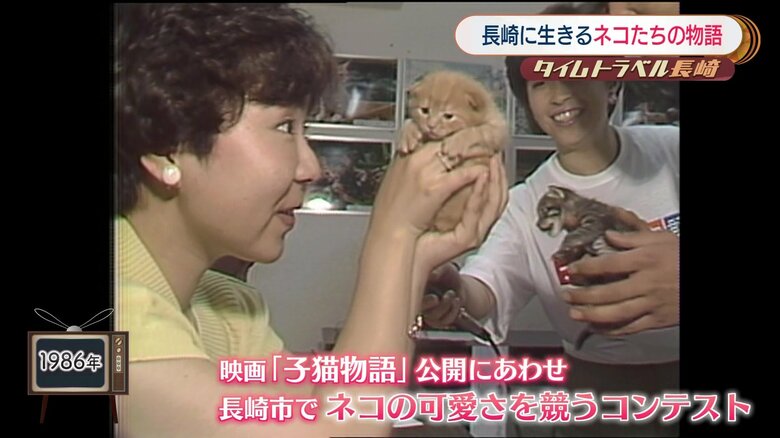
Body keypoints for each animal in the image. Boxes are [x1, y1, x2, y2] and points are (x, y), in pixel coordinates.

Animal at [399, 70, 509, 232]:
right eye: (424, 110)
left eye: (448, 116)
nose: (431, 126)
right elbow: (409, 122)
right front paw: (408, 134)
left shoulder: (498, 129)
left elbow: (476, 131)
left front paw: (456, 143)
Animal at [536, 185, 640, 349]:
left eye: (544, 210)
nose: (537, 225)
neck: (574, 208)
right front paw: (565, 254)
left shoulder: (595, 220)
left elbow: (571, 236)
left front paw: (562, 249)